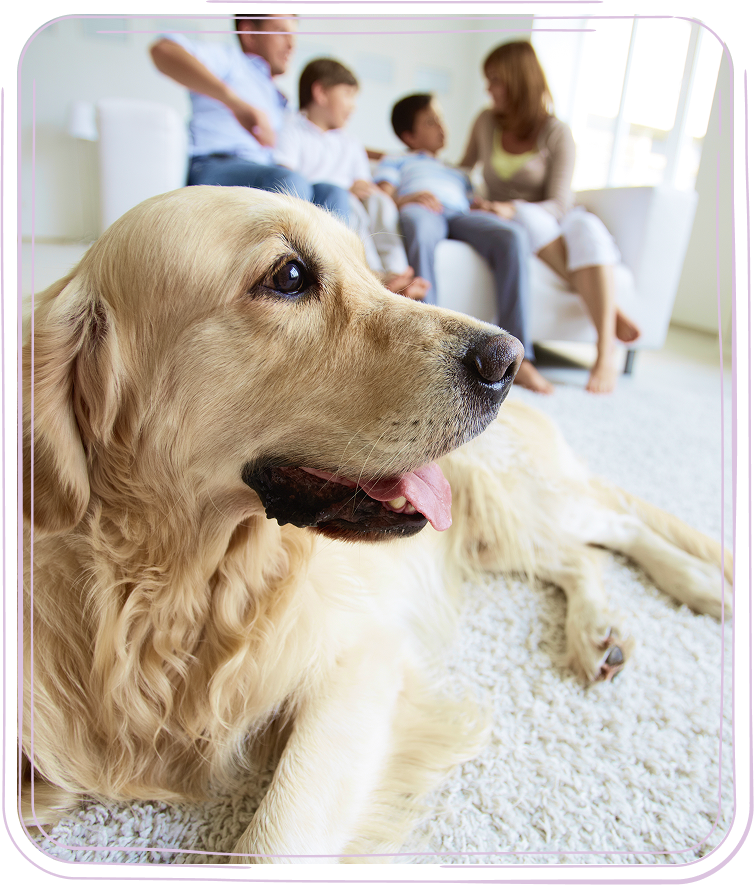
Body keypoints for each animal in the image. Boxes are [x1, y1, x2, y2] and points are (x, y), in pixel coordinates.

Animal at [21, 186, 732, 863]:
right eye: (289, 275)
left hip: (512, 498)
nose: (509, 359)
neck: (172, 590)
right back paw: (599, 633)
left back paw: (698, 586)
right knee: (578, 554)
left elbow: (275, 837)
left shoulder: (358, 660)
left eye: (370, 270)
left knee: (616, 523)